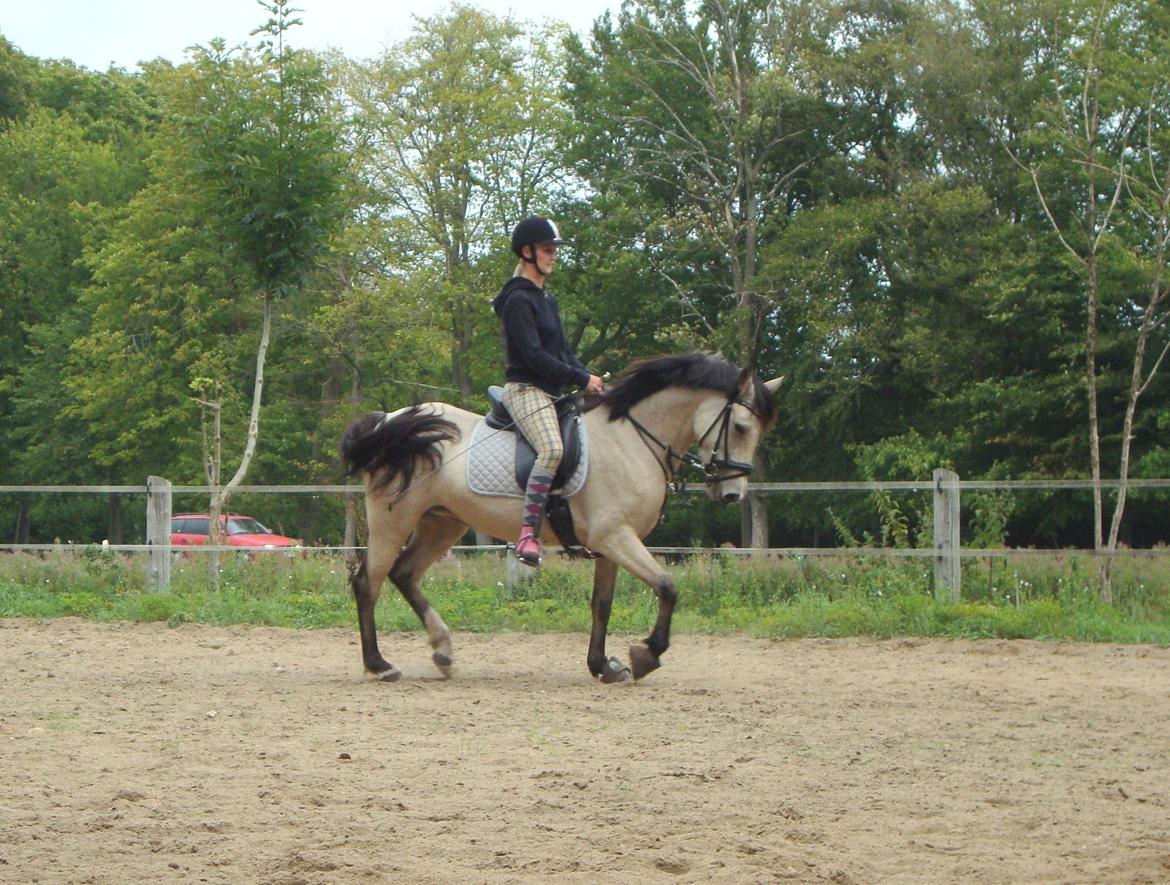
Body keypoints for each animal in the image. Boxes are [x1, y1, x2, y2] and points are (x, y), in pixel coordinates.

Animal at [336, 353, 776, 683]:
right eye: (740, 427)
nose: (731, 494)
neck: (631, 440)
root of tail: (389, 420)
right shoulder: (616, 536)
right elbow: (667, 587)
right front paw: (646, 654)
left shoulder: (610, 545)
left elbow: (602, 604)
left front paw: (603, 665)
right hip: (393, 521)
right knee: (368, 583)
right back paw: (380, 665)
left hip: (442, 523)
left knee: (404, 574)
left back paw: (442, 651)